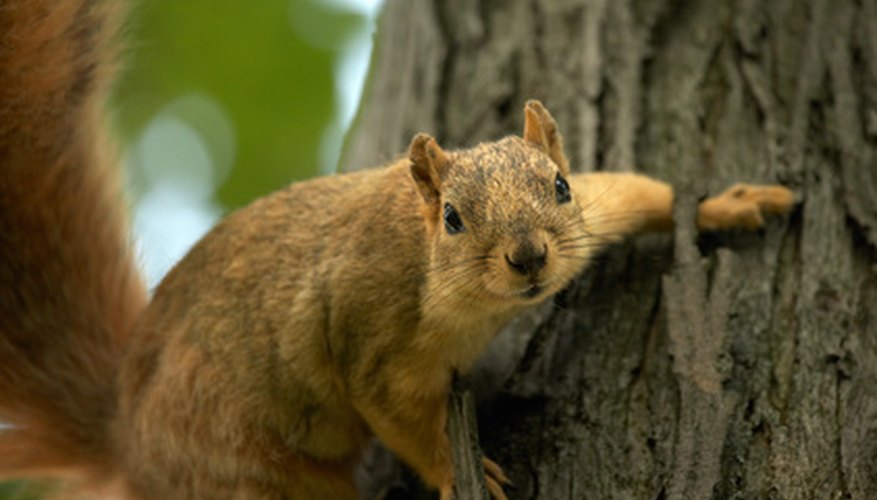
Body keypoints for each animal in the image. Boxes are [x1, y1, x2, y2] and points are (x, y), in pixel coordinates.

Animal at [0, 0, 792, 500]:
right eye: (453, 219)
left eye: (560, 186)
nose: (530, 257)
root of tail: (126, 437)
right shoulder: (373, 335)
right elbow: (397, 415)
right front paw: (454, 473)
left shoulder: (592, 216)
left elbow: (637, 191)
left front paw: (726, 204)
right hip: (247, 474)